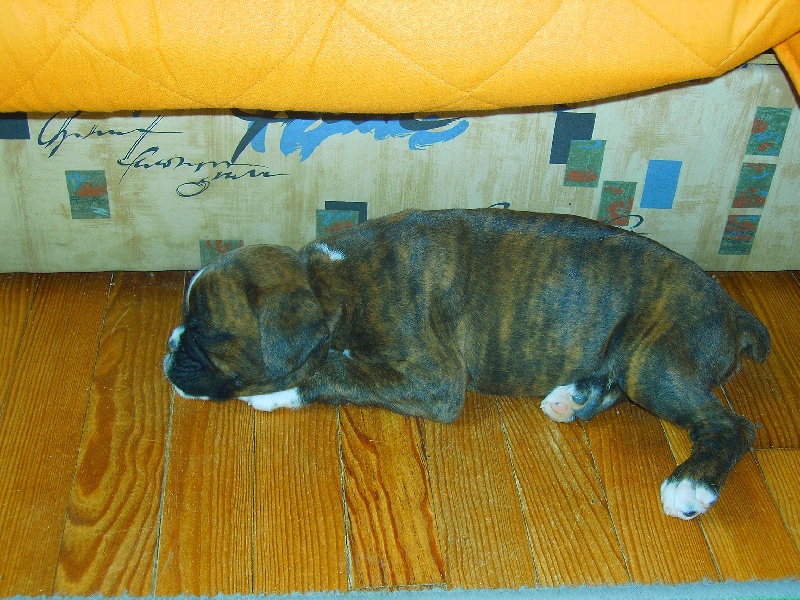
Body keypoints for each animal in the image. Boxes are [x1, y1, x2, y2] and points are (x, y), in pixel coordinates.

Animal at [164, 208, 769, 520]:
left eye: (205, 334)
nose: (169, 350)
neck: (332, 281)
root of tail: (731, 307)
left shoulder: (436, 381)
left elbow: (335, 370)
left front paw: (273, 390)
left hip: (657, 361)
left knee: (730, 424)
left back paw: (691, 484)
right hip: (634, 356)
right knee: (616, 383)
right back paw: (572, 397)